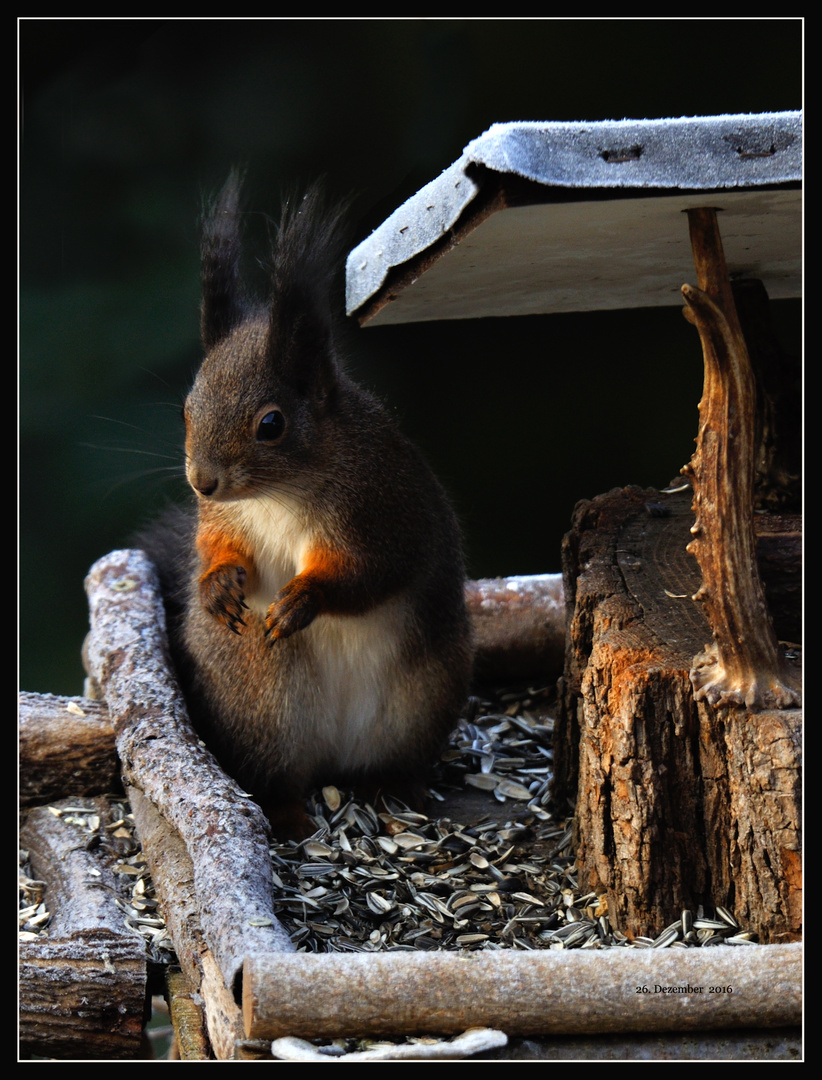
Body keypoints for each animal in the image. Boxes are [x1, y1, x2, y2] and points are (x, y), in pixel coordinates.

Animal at [137, 174, 470, 833]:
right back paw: (290, 813)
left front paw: (303, 600)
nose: (202, 482)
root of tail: (332, 762)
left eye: (272, 424)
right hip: (262, 711)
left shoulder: (379, 511)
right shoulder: (226, 520)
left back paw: (395, 797)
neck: (278, 496)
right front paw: (217, 586)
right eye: (187, 408)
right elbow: (215, 549)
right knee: (278, 780)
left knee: (387, 766)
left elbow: (371, 573)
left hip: (419, 701)